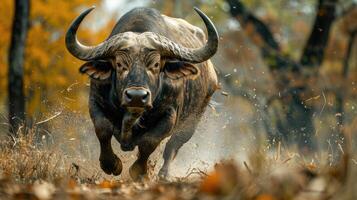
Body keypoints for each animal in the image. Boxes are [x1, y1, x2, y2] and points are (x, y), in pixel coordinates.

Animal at [65, 6, 218, 180]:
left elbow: (149, 142)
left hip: (192, 122)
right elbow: (103, 129)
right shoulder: (95, 101)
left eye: (156, 65)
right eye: (119, 64)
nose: (136, 97)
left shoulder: (169, 115)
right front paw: (112, 164)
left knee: (173, 146)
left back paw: (164, 174)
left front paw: (140, 171)